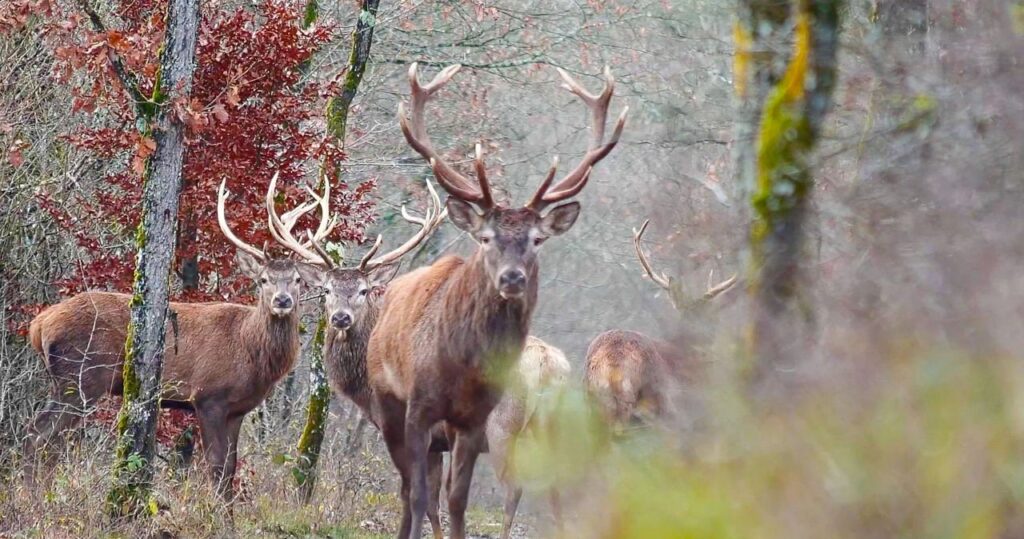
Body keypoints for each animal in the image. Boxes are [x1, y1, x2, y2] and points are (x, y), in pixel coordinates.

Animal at [24, 175, 327, 500]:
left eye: (297, 280)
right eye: (263, 280)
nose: (283, 301)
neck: (251, 351)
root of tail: (39, 325)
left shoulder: (237, 410)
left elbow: (231, 468)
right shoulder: (208, 396)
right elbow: (216, 466)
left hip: (67, 380)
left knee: (45, 437)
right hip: (81, 376)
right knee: (39, 435)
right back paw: (35, 495)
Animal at [364, 61, 626, 536]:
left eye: (537, 239)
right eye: (486, 237)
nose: (512, 278)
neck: (462, 367)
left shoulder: (475, 419)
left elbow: (456, 499)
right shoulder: (419, 409)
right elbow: (421, 494)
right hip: (394, 404)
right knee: (413, 488)